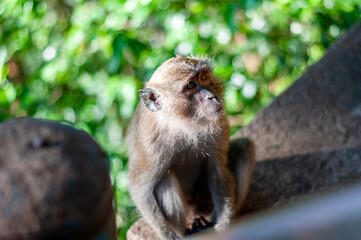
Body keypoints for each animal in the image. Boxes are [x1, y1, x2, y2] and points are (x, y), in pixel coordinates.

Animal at [125, 55, 255, 240]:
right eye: (190, 86)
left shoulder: (219, 124)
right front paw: (171, 237)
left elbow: (218, 171)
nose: (212, 96)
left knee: (245, 147)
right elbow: (140, 189)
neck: (182, 124)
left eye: (203, 77)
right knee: (164, 180)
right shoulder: (150, 144)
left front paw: (223, 226)